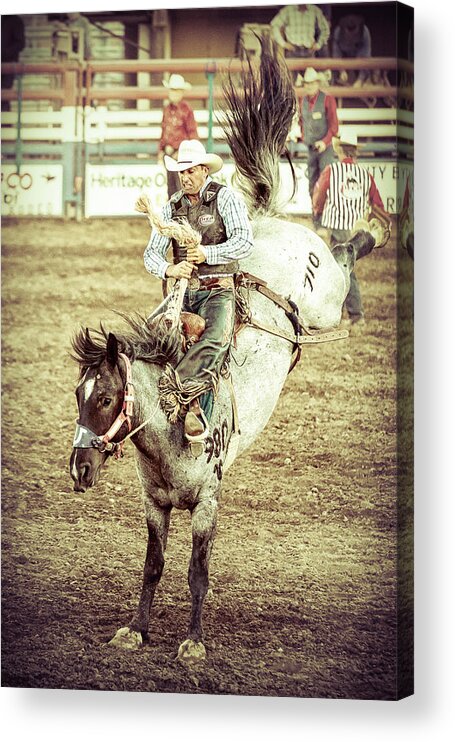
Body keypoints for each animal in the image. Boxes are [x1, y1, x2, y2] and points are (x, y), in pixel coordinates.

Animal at [69, 42, 380, 668]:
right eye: (78, 394)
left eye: (108, 397)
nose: (79, 468)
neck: (165, 431)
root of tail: (265, 224)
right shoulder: (154, 503)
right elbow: (152, 567)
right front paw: (136, 629)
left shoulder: (208, 501)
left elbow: (196, 572)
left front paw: (192, 640)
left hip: (325, 300)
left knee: (343, 256)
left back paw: (372, 229)